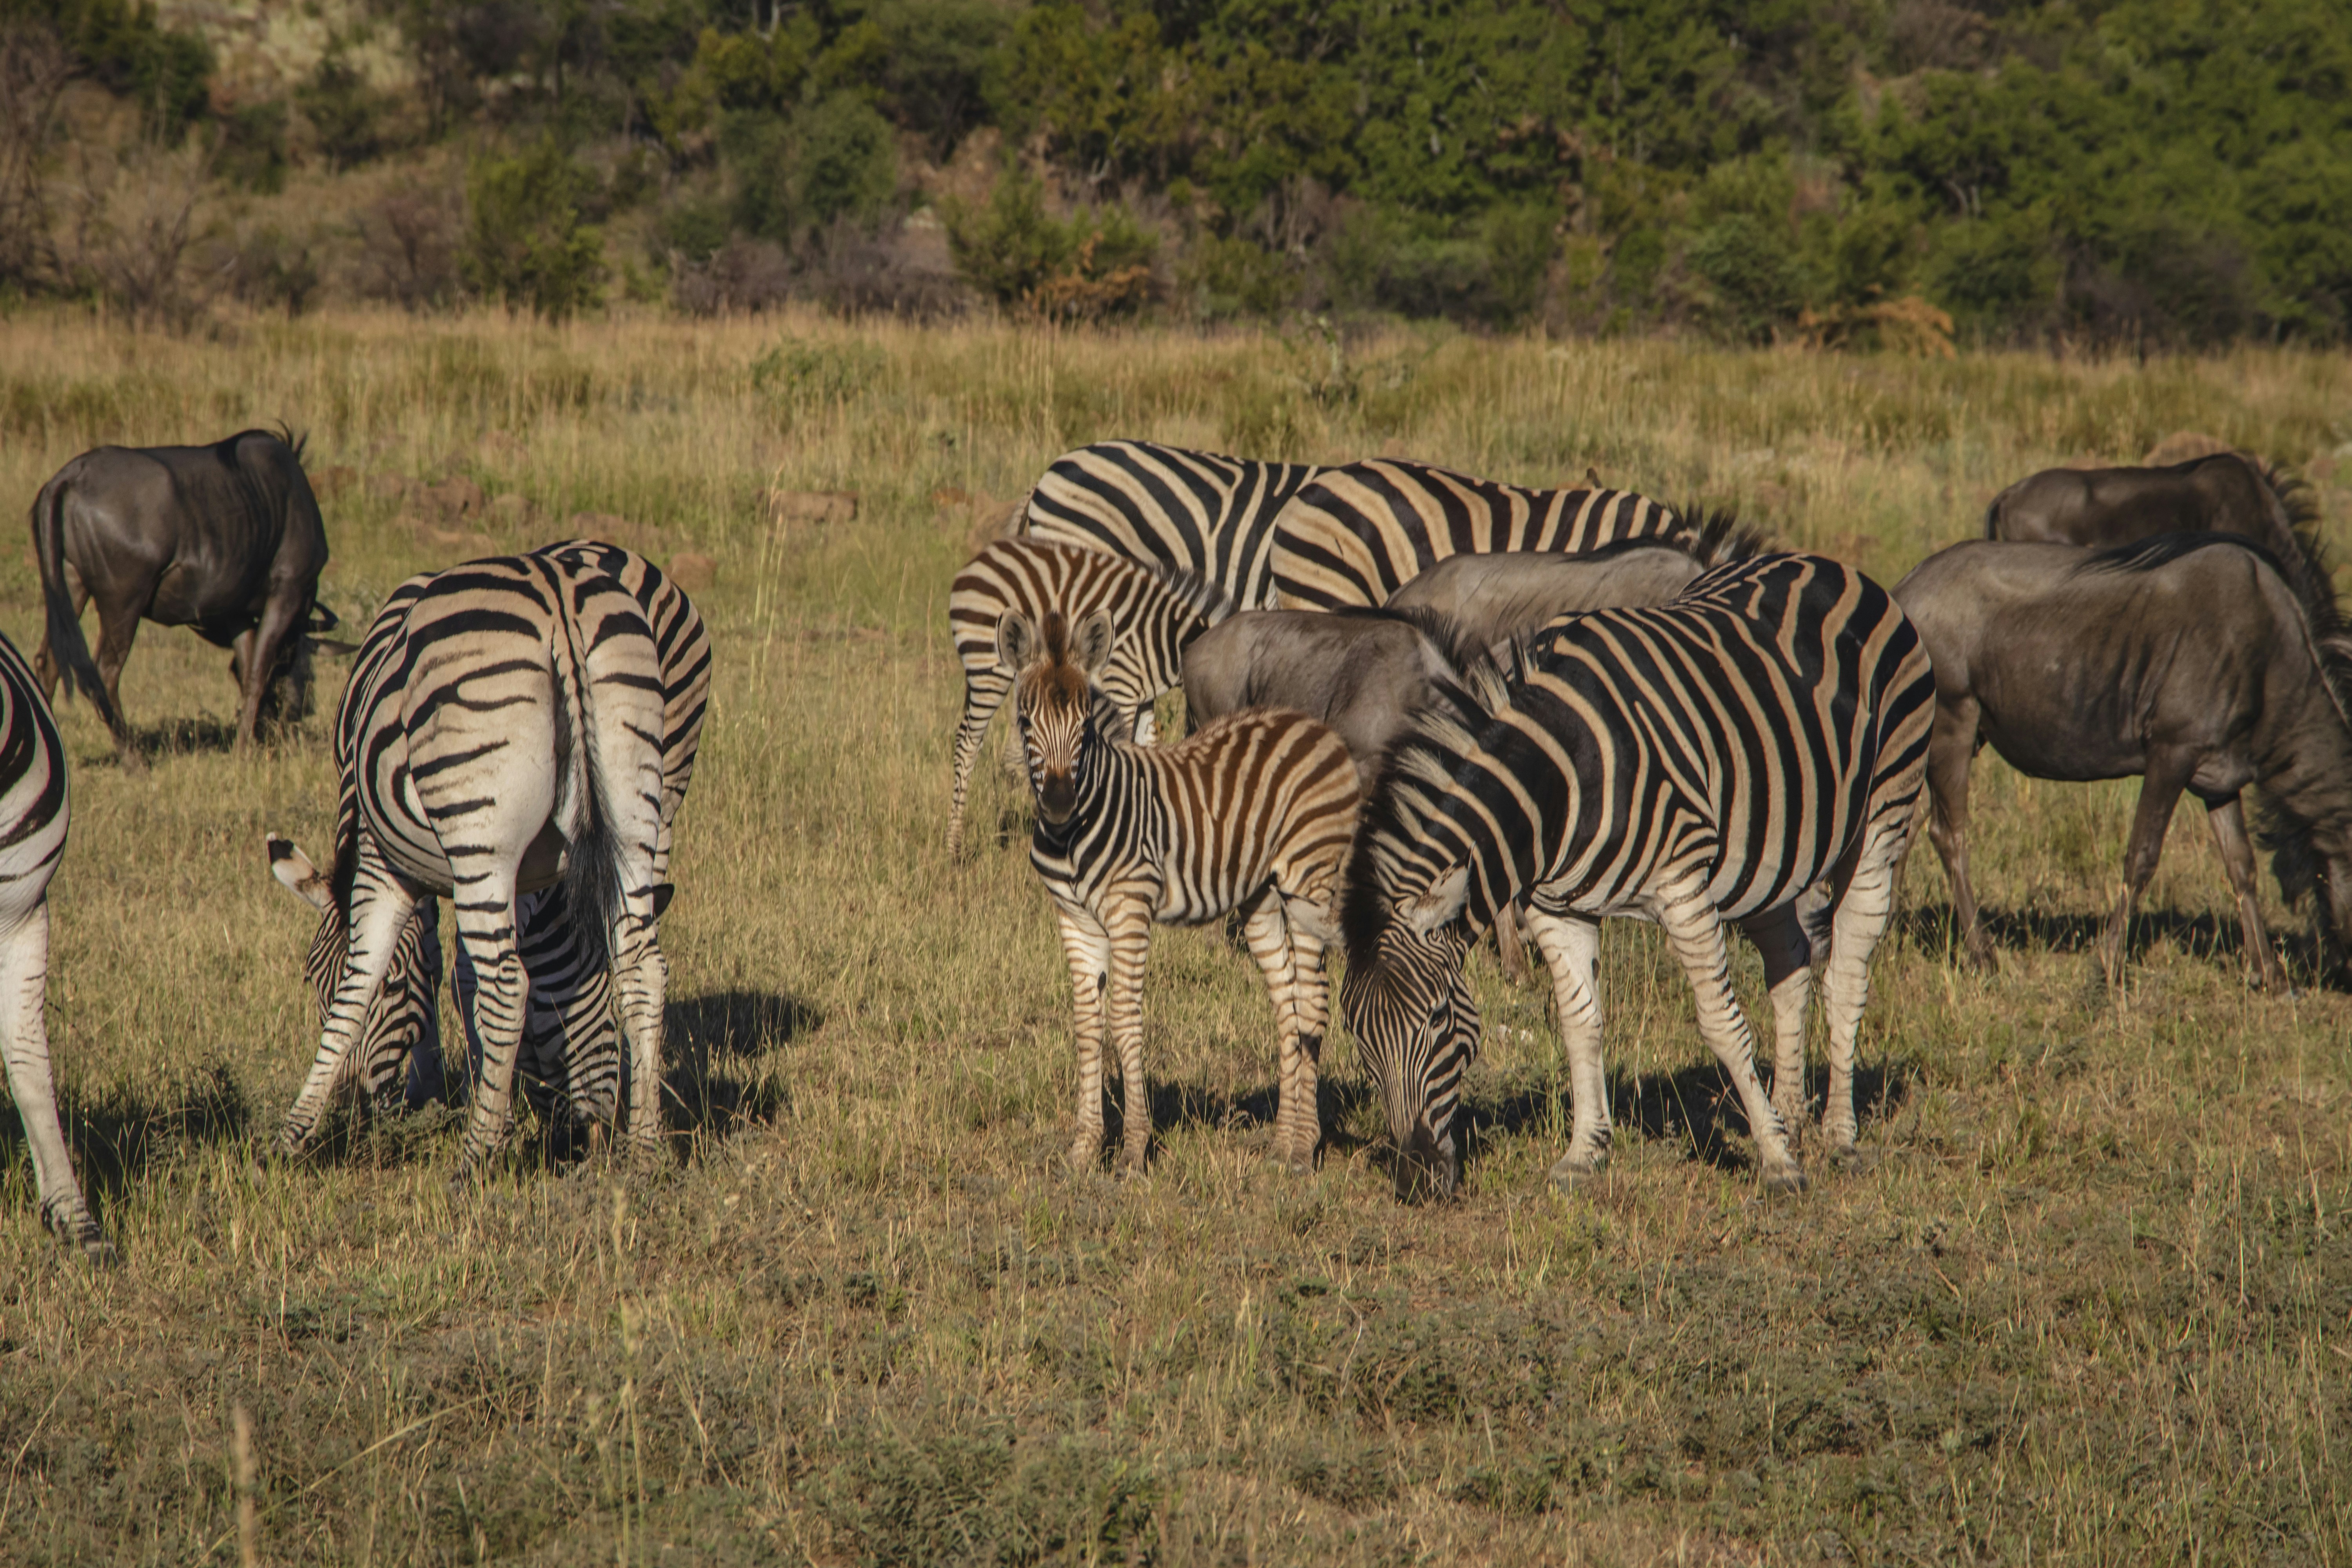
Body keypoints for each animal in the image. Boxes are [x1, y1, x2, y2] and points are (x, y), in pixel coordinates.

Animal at [268, 541, 709, 1146]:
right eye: (311, 978)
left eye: (394, 988)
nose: (356, 1115)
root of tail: (559, 587)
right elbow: (456, 970)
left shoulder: (401, 861)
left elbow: (420, 970)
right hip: (643, 803)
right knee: (641, 958)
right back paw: (643, 1137)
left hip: (486, 819)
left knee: (511, 979)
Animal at [948, 537, 1233, 855]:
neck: (1166, 641)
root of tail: (979, 561)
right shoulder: (1122, 685)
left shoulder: (1144, 697)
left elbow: (1148, 749)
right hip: (987, 666)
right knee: (967, 743)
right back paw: (954, 846)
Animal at [1000, 606, 1359, 1174]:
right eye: (1025, 721)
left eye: (1084, 725)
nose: (1058, 803)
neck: (1073, 832)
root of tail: (1313, 726)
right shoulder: (1075, 919)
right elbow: (1086, 1027)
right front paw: (1083, 1150)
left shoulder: (1130, 909)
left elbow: (1124, 1020)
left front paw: (1132, 1150)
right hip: (1260, 895)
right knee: (1287, 1002)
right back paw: (1282, 1143)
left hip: (1309, 879)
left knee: (1313, 1001)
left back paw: (1305, 1149)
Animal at [1339, 553, 1935, 1200]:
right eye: (1360, 1041)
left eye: (1439, 1018)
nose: (1416, 1180)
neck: (1559, 777)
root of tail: (1826, 564)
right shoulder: (1557, 907)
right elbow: (1580, 1024)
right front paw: (1584, 1154)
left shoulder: (1682, 887)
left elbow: (1721, 1024)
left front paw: (1777, 1162)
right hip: (1767, 851)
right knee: (1791, 963)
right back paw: (1791, 1115)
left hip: (1882, 814)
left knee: (1846, 976)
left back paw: (1838, 1138)